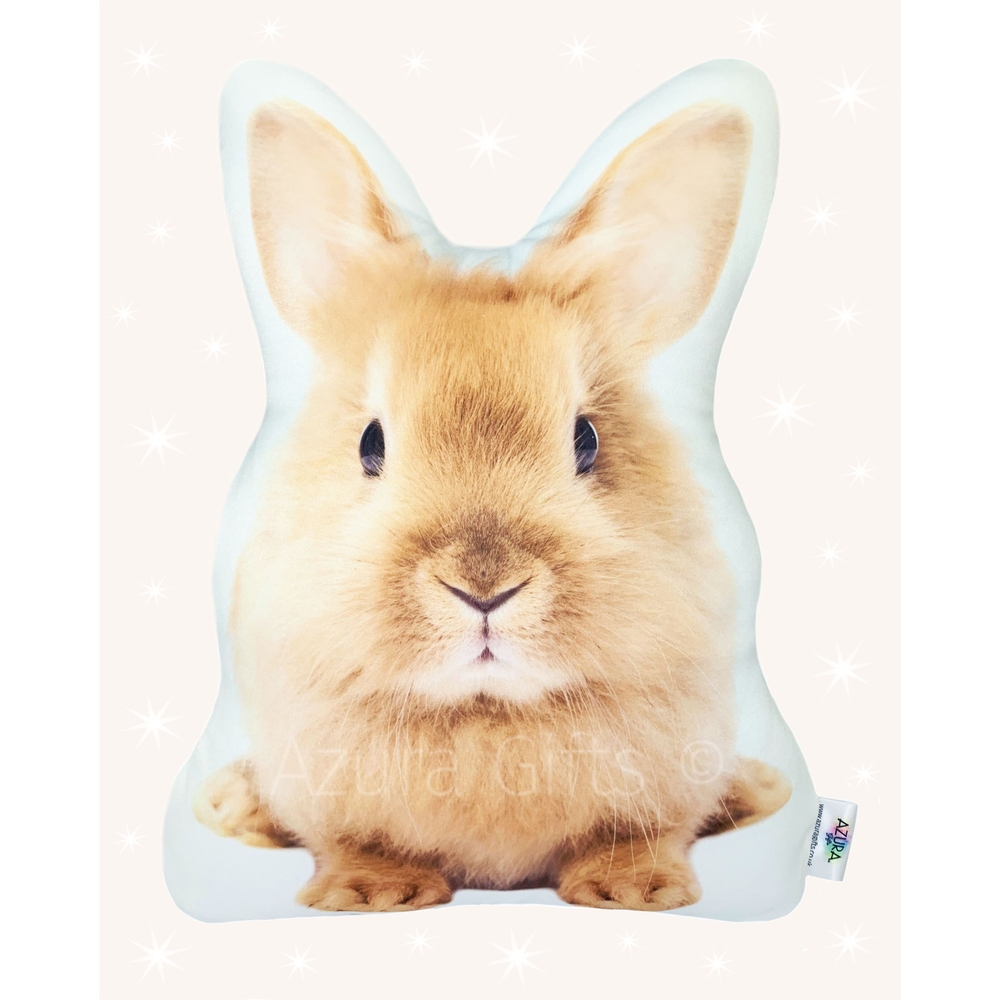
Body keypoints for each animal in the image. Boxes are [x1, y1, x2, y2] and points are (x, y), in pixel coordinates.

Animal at [193, 98, 792, 912]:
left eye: (586, 439)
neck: (487, 714)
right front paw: (372, 896)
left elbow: (640, 834)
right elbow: (353, 841)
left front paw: (635, 892)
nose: (484, 587)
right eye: (370, 443)